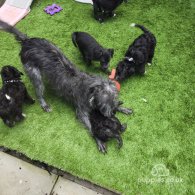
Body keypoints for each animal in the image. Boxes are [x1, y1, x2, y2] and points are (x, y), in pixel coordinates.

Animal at [0, 20, 133, 152]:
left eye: (114, 99)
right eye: (103, 105)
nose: (113, 114)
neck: (90, 89)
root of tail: (27, 41)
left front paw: (123, 108)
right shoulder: (81, 111)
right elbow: (91, 127)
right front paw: (99, 140)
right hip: (35, 75)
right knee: (38, 92)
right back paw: (44, 104)